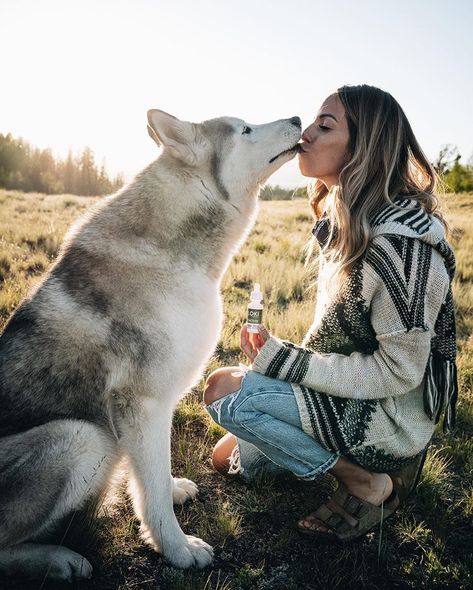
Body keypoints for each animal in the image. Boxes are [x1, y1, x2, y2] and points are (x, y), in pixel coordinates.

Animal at [0, 110, 300, 584]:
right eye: (245, 130)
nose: (299, 117)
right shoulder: (142, 403)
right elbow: (153, 486)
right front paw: (176, 548)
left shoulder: (157, 405)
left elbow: (152, 476)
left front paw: (173, 492)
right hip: (81, 437)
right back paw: (57, 559)